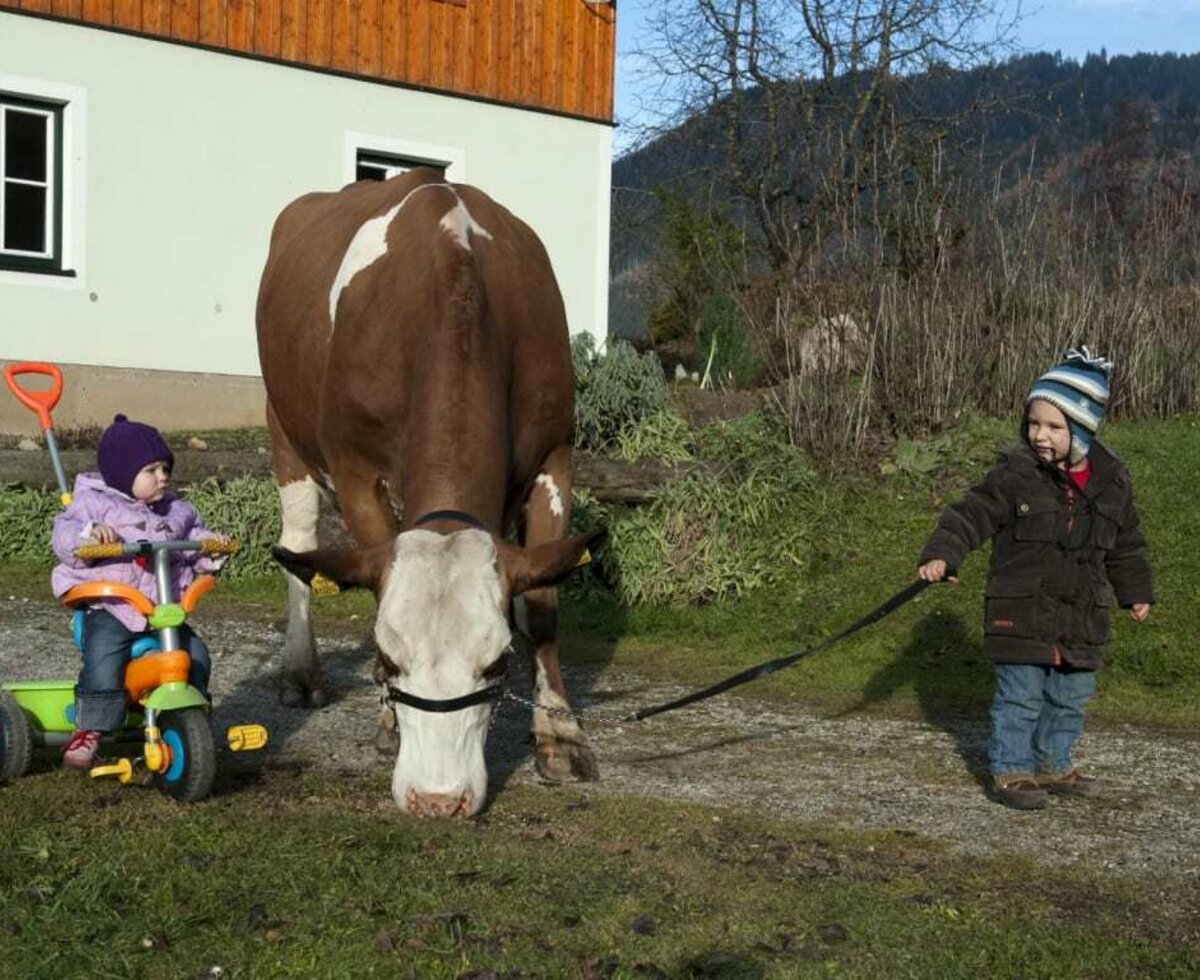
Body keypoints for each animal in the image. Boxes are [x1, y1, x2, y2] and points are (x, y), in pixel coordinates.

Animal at [256, 170, 604, 820]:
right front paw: (388, 719)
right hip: (282, 425)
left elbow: (543, 607)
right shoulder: (356, 471)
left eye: (497, 663)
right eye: (390, 659)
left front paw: (560, 734)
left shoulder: (556, 455)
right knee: (298, 546)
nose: (436, 801)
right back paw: (301, 672)